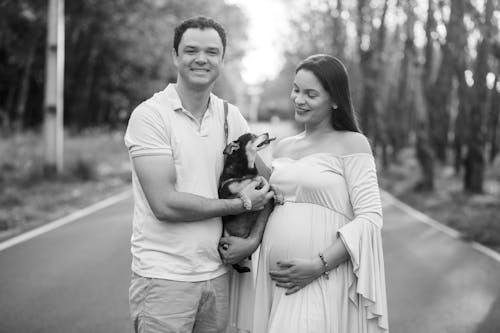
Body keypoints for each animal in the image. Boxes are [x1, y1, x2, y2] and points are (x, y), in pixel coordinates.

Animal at [219, 132, 282, 272]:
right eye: (253, 136)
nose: (267, 133)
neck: (246, 170)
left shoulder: (261, 182)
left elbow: (271, 185)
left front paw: (279, 195)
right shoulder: (225, 194)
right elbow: (240, 192)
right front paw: (247, 202)